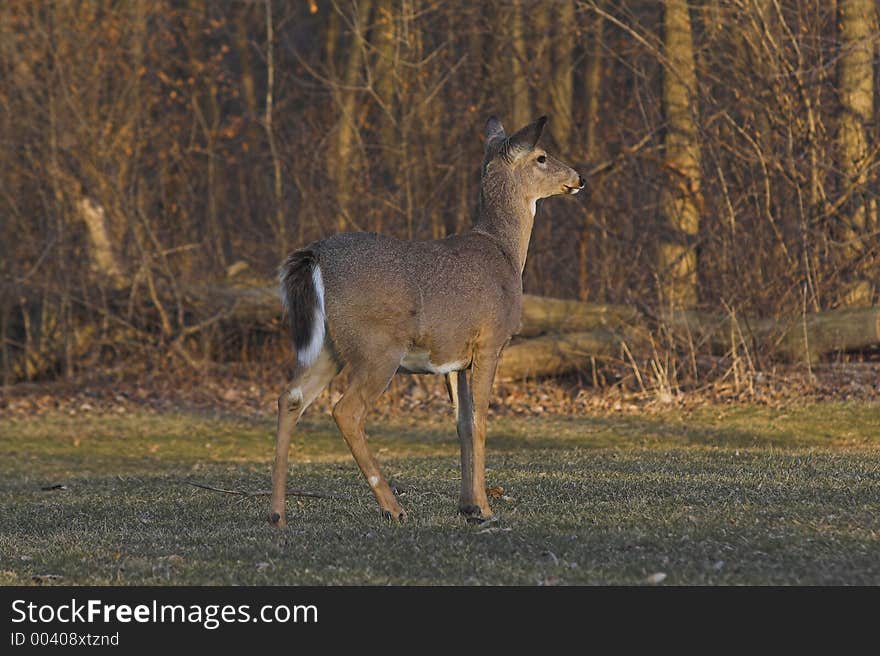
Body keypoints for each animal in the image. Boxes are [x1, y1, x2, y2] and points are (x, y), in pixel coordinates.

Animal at [268, 115, 584, 528]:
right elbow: (481, 420)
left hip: (329, 346)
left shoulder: (456, 357)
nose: (579, 177)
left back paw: (276, 513)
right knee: (346, 410)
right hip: (378, 346)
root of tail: (315, 257)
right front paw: (486, 508)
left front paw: (468, 506)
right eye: (542, 156)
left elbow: (462, 423)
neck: (505, 254)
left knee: (291, 397)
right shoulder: (491, 340)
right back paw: (393, 506)